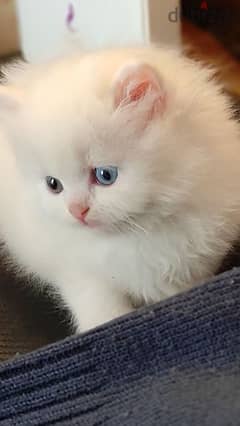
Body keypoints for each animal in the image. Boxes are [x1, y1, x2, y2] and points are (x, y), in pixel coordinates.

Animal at [0, 47, 240, 332]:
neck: (142, 232)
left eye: (105, 175)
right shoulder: (80, 272)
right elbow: (104, 313)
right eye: (53, 184)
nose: (77, 211)